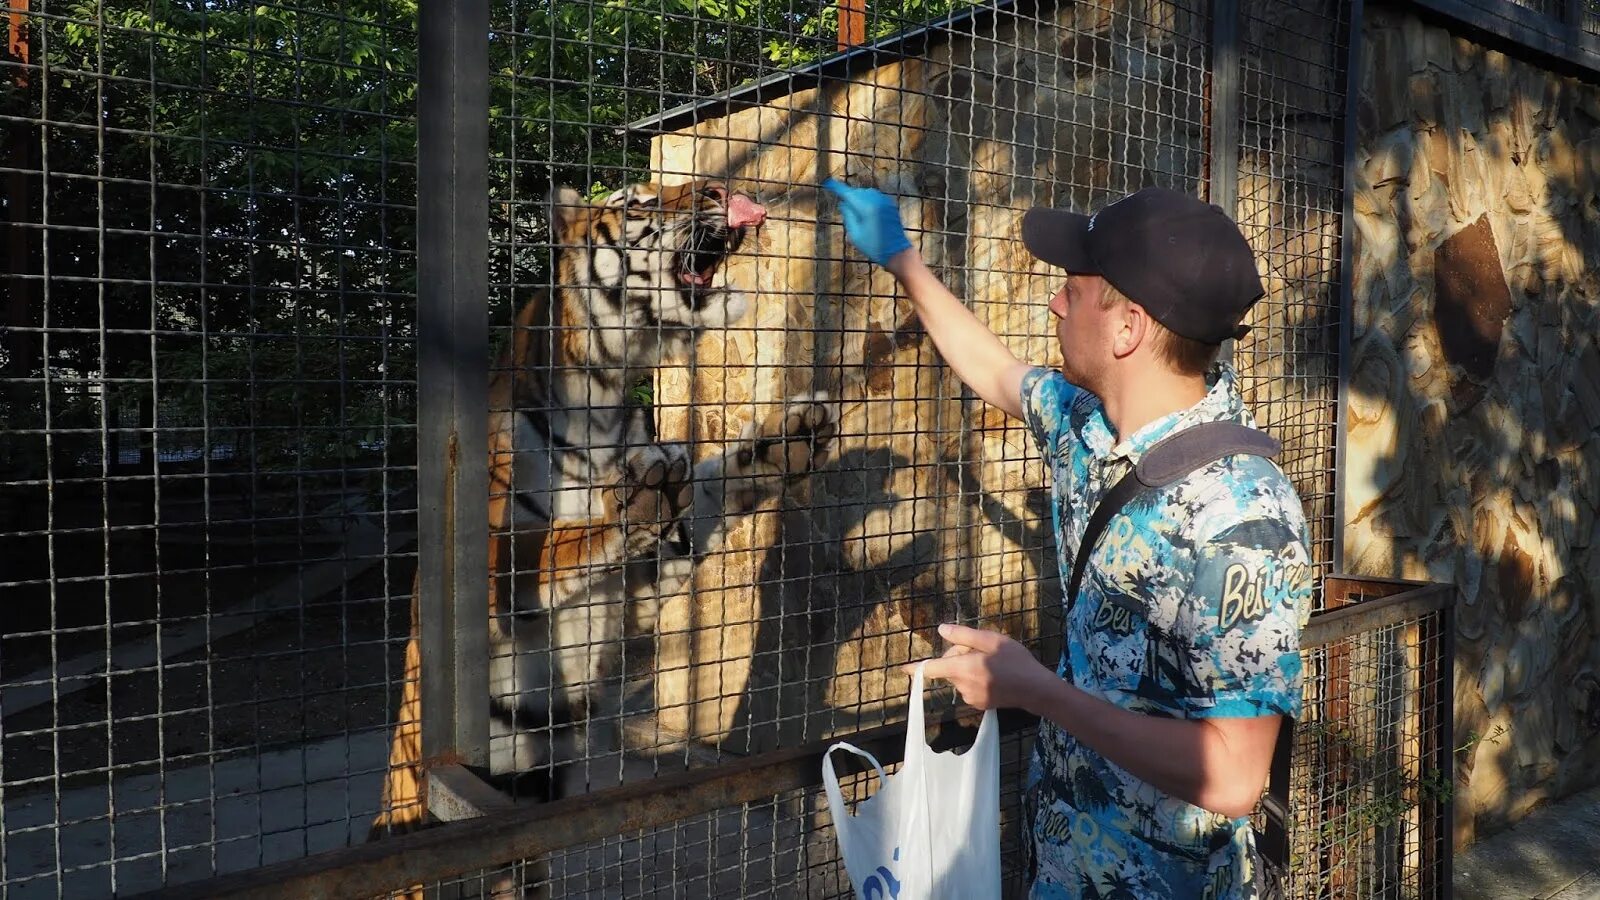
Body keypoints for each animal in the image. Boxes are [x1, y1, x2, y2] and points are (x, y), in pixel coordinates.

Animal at [372, 176, 838, 890]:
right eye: (638, 202)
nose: (720, 188)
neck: (605, 393)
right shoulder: (488, 572)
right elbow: (558, 542)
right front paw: (633, 495)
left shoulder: (641, 589)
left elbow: (709, 491)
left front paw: (791, 439)